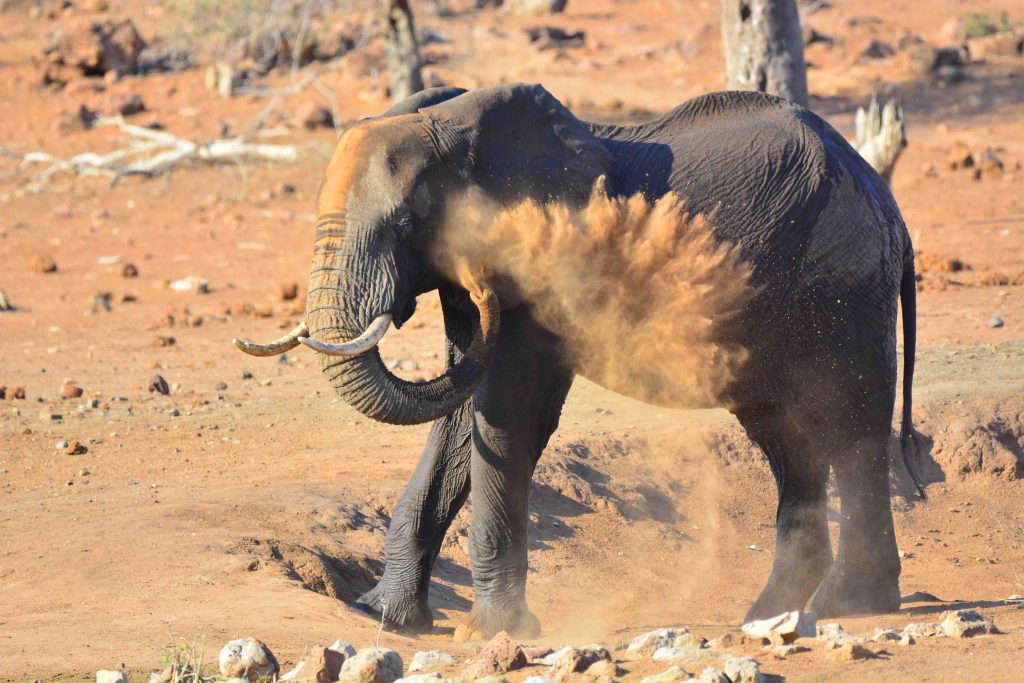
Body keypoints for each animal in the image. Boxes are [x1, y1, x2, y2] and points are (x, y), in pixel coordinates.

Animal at [235, 85, 925, 643]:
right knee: (790, 443)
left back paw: (850, 602)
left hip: (842, 288)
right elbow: (461, 423)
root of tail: (885, 196)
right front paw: (383, 616)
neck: (455, 128)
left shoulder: (542, 274)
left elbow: (506, 416)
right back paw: (767, 612)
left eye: (407, 221)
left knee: (851, 427)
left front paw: (491, 632)